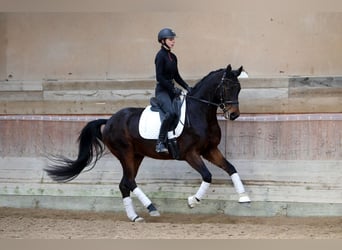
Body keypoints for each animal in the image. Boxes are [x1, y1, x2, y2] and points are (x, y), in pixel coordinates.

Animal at [44, 65, 250, 223]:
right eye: (226, 87)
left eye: (238, 88)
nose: (234, 115)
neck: (199, 113)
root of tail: (109, 120)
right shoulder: (190, 154)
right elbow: (207, 176)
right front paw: (193, 200)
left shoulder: (210, 150)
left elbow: (231, 168)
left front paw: (244, 197)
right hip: (125, 153)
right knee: (129, 181)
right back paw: (151, 208)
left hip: (136, 156)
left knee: (124, 184)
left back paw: (135, 217)